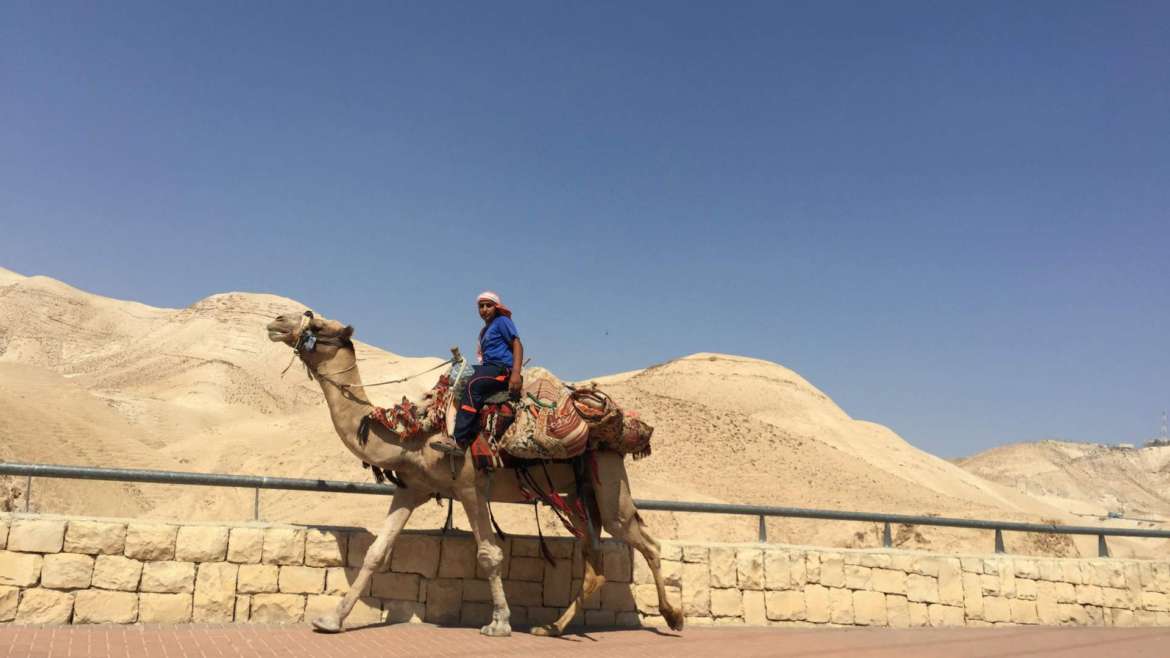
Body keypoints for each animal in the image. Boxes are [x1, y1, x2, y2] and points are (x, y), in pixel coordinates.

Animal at [266, 310, 685, 637]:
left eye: (317, 322)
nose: (276, 321)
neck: (415, 433)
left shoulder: (470, 487)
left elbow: (489, 554)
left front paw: (498, 623)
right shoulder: (411, 489)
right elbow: (376, 552)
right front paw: (331, 620)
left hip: (608, 482)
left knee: (644, 541)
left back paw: (672, 617)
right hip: (577, 495)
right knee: (595, 560)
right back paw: (551, 627)